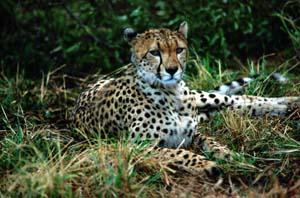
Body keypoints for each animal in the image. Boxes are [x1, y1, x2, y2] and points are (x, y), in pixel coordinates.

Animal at [72, 21, 300, 176]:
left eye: (179, 49)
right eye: (154, 52)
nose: (172, 70)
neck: (171, 95)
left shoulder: (191, 130)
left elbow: (210, 140)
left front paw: (227, 154)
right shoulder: (136, 147)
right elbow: (180, 153)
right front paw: (206, 163)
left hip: (202, 97)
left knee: (234, 99)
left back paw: (287, 102)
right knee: (226, 106)